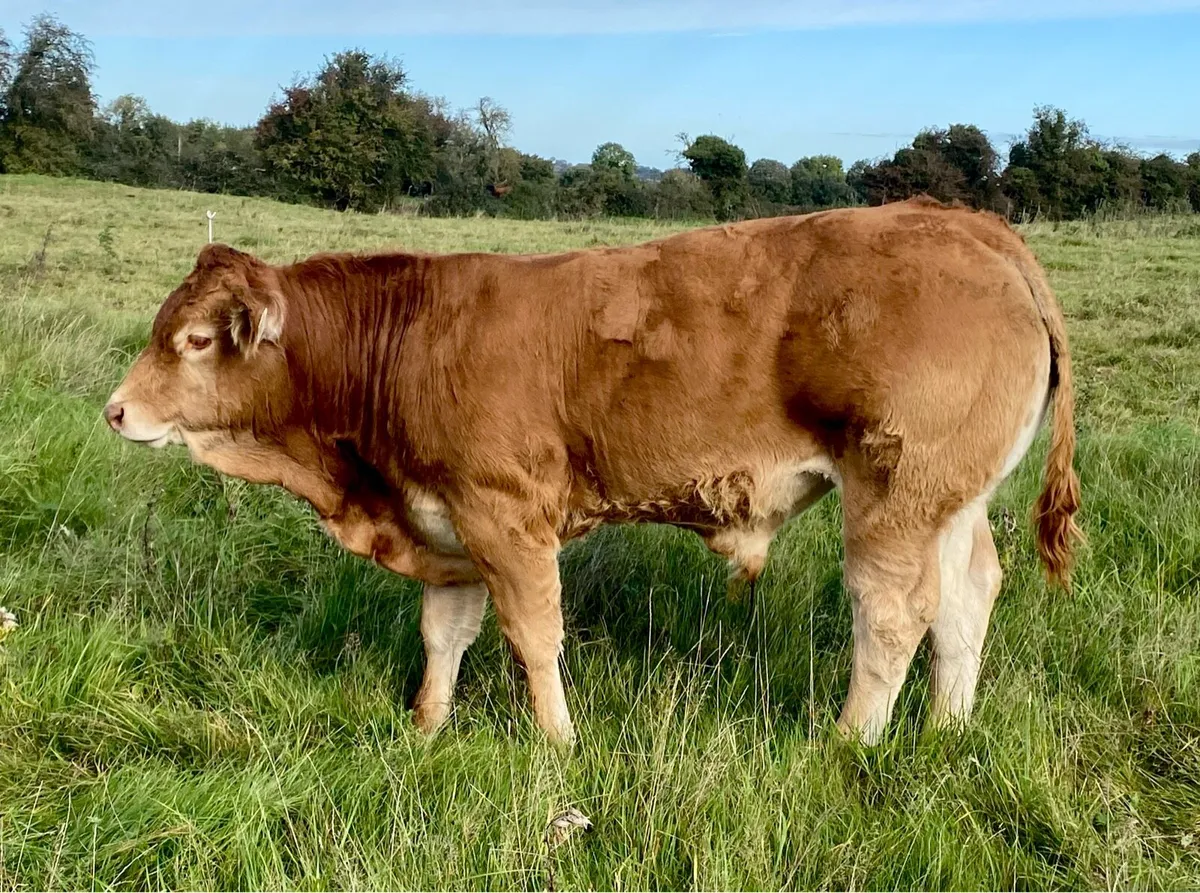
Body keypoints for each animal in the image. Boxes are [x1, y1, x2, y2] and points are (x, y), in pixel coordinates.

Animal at [104, 197, 1082, 746]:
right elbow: (444, 633)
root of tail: (964, 222)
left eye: (197, 340)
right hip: (950, 501)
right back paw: (947, 730)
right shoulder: (449, 522)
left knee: (891, 614)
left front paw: (558, 743)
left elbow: (534, 637)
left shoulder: (505, 517)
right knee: (966, 597)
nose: (114, 410)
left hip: (893, 494)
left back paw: (849, 743)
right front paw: (424, 726)